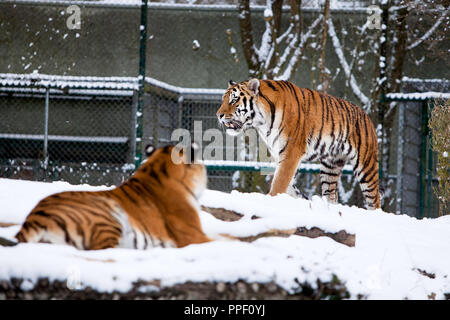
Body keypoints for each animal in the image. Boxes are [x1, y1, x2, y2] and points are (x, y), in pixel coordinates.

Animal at [216, 79, 382, 210]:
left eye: (233, 100)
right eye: (223, 100)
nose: (219, 115)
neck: (262, 122)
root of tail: (365, 115)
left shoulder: (291, 152)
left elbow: (280, 181)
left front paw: (271, 200)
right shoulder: (278, 154)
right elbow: (286, 182)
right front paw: (298, 197)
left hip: (366, 166)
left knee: (375, 199)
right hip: (331, 166)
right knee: (332, 195)